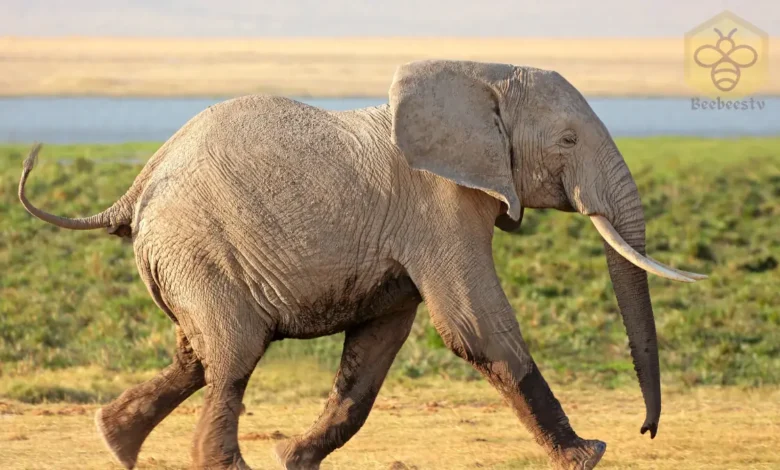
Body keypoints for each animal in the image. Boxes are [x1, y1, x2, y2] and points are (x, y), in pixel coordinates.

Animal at [18, 60, 704, 468]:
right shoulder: (440, 205)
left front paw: (294, 459)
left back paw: (115, 442)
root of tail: (134, 188)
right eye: (567, 141)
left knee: (197, 354)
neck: (480, 75)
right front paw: (588, 454)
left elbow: (374, 352)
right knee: (233, 354)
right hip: (197, 248)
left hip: (186, 259)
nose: (646, 431)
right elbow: (475, 327)